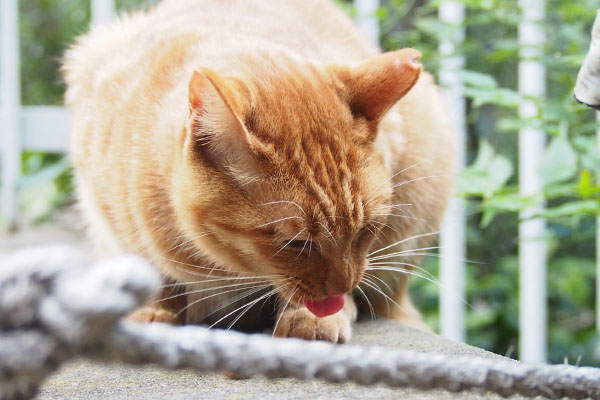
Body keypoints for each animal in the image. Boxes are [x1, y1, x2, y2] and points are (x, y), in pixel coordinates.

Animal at [63, 0, 452, 342]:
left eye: (366, 230)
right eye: (296, 243)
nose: (345, 286)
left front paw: (313, 316)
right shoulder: (108, 213)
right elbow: (149, 264)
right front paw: (154, 309)